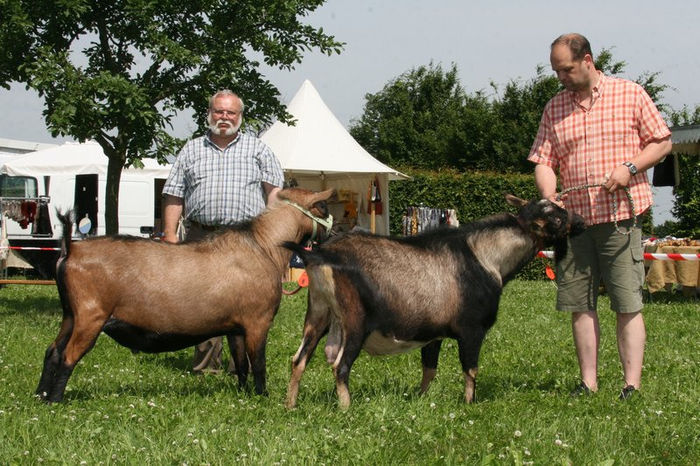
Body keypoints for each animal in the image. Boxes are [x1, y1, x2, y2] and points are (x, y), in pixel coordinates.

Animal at [35, 187, 336, 402]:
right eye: (322, 206)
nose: (336, 233)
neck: (263, 246)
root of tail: (71, 249)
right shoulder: (257, 321)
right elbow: (258, 363)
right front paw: (263, 396)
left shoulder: (236, 326)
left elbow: (241, 364)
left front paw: (244, 394)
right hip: (91, 314)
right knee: (67, 355)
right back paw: (56, 401)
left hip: (70, 314)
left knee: (52, 351)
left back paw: (41, 396)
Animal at [284, 193, 584, 408]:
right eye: (556, 219)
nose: (580, 222)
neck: (486, 258)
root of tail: (319, 255)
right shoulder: (472, 330)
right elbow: (471, 369)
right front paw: (469, 404)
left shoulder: (433, 334)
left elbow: (429, 369)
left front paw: (421, 399)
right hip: (354, 321)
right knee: (340, 365)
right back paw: (346, 409)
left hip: (319, 313)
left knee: (299, 359)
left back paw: (291, 406)